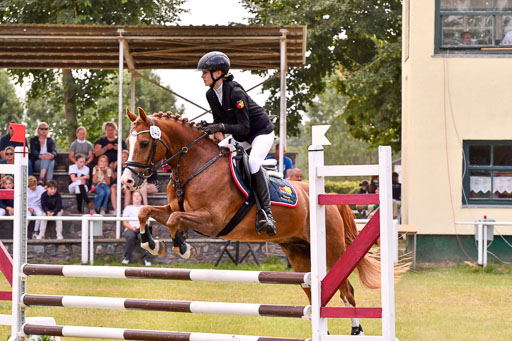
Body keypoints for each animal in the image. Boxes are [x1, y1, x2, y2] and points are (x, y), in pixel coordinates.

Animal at [121, 107, 380, 334]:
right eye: (127, 143)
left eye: (144, 143)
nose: (127, 181)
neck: (196, 167)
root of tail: (325, 197)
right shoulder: (173, 208)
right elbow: (145, 211)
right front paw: (152, 244)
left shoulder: (212, 221)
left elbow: (175, 220)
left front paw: (183, 248)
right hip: (298, 252)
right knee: (311, 289)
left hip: (332, 250)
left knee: (347, 290)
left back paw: (357, 330)